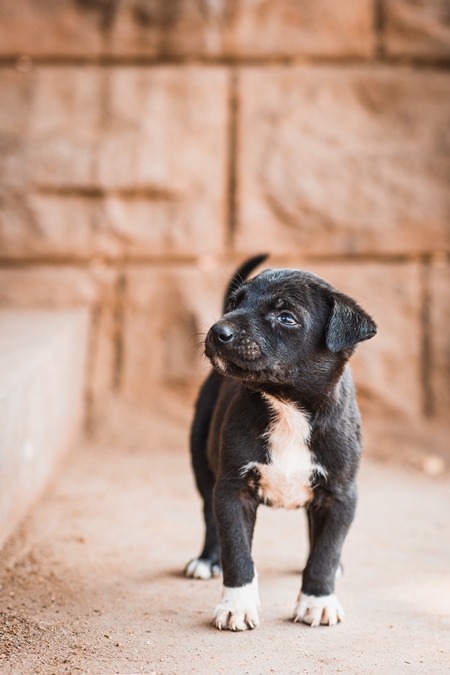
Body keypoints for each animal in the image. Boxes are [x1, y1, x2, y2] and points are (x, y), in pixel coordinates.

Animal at [184, 256, 376, 632]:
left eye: (286, 317)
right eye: (235, 302)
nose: (217, 331)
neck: (288, 407)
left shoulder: (341, 494)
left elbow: (326, 550)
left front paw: (318, 600)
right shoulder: (233, 490)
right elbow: (237, 552)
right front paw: (237, 605)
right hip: (201, 459)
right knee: (208, 515)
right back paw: (207, 559)